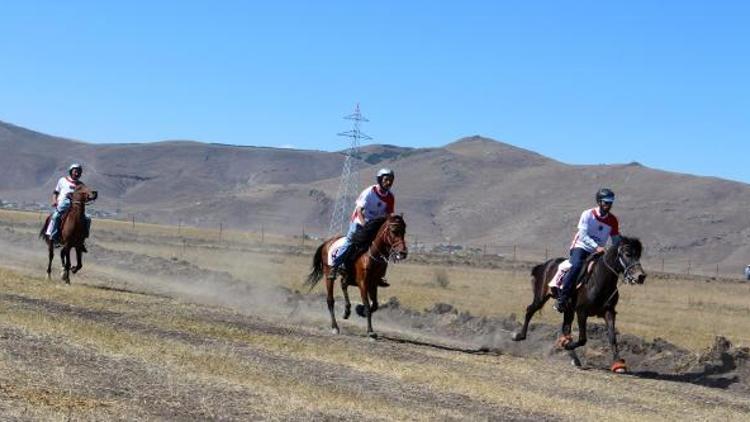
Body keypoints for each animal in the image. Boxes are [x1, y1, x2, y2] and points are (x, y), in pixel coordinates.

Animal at [516, 237, 648, 372]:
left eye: (638, 255)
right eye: (627, 254)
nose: (641, 276)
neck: (599, 279)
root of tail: (544, 265)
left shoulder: (609, 312)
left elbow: (612, 338)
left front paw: (618, 364)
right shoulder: (581, 312)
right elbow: (582, 339)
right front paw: (566, 345)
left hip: (568, 309)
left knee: (565, 329)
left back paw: (574, 358)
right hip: (541, 298)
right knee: (530, 310)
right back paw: (519, 336)